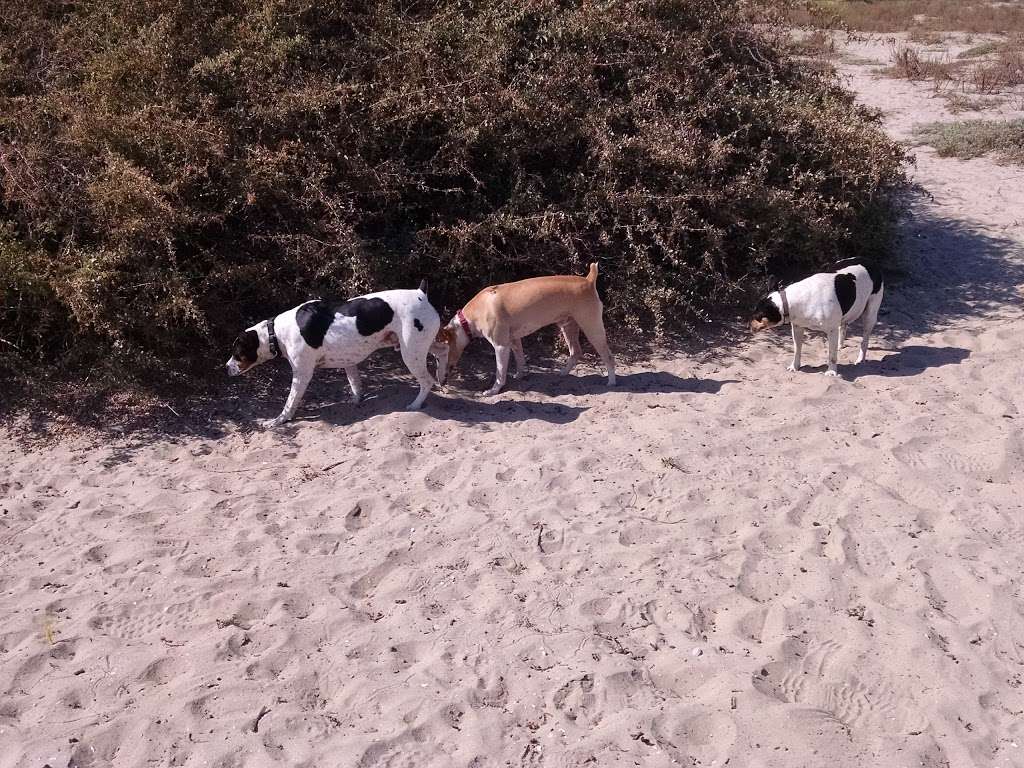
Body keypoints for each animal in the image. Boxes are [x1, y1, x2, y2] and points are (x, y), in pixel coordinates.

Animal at [226, 280, 442, 428]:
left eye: (237, 353)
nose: (225, 368)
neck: (276, 333)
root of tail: (421, 293)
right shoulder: (349, 361)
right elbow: (355, 385)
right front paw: (356, 400)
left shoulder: (301, 375)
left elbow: (290, 402)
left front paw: (279, 420)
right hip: (422, 346)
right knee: (443, 351)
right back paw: (443, 372)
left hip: (411, 354)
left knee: (427, 381)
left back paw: (415, 405)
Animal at [432, 264, 614, 397]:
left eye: (437, 357)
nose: (438, 382)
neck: (467, 320)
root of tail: (588, 280)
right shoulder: (514, 341)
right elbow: (520, 360)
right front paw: (520, 375)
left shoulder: (501, 347)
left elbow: (500, 373)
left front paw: (493, 390)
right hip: (568, 326)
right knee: (576, 352)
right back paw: (563, 373)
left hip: (592, 329)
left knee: (608, 357)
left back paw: (611, 382)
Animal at [749, 260, 884, 376]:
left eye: (757, 316)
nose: (748, 325)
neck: (793, 301)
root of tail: (870, 262)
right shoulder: (797, 328)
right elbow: (797, 350)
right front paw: (794, 366)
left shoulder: (831, 331)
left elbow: (832, 355)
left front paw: (831, 371)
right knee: (843, 326)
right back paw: (840, 346)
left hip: (870, 314)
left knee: (864, 340)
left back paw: (860, 359)